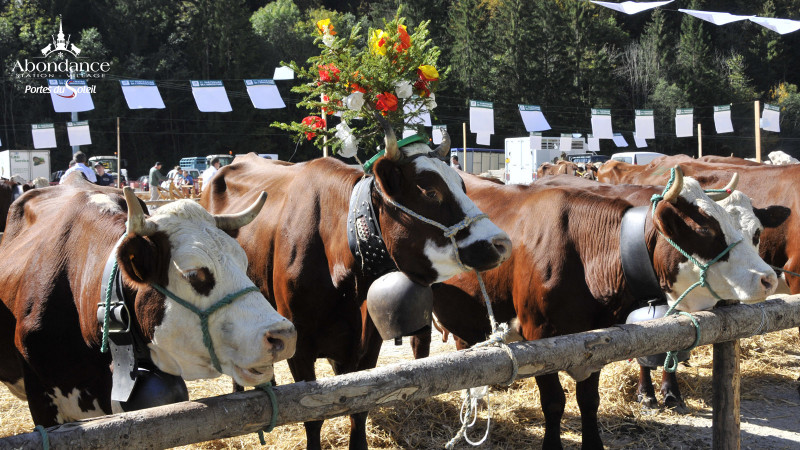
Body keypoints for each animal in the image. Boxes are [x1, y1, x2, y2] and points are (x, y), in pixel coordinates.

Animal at [202, 125, 512, 450]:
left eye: (463, 185)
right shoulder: (299, 348)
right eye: (429, 191)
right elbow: (312, 416)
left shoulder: (367, 342)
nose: (502, 243)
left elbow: (358, 406)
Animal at [412, 170, 776, 450]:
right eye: (706, 230)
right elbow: (554, 402)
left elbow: (589, 401)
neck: (584, 254)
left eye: (752, 231)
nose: (769, 278)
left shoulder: (598, 342)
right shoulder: (537, 336)